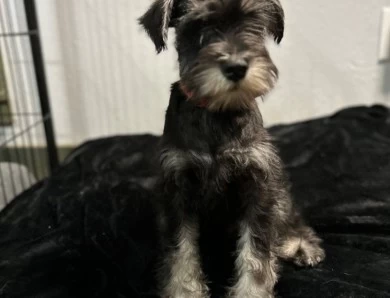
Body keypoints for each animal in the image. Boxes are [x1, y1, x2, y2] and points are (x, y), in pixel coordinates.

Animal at [139, 0, 324, 296]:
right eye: (198, 25)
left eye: (253, 23)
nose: (236, 67)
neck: (218, 111)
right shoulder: (176, 189)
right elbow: (181, 254)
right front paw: (184, 291)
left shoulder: (258, 184)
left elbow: (256, 254)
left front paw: (252, 291)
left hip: (279, 192)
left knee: (288, 218)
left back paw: (299, 246)